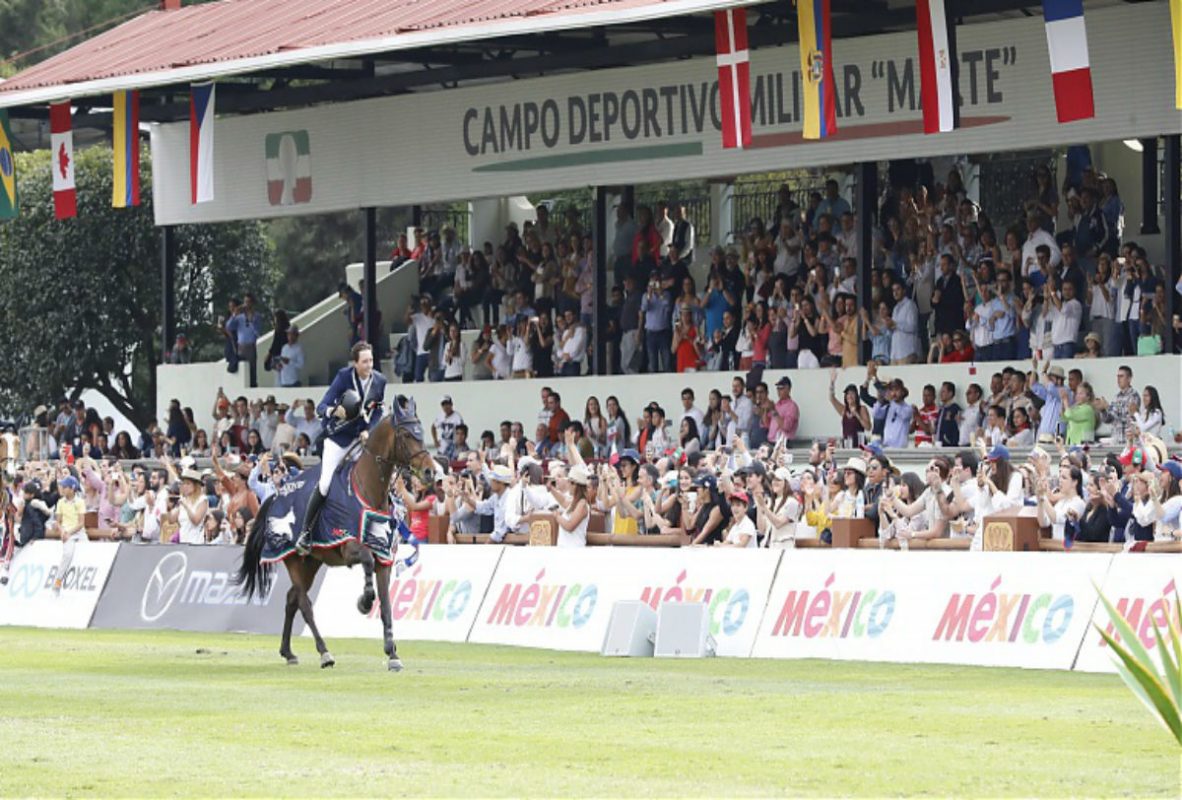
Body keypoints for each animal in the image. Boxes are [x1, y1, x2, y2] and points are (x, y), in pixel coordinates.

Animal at [232, 397, 432, 666]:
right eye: (407, 434)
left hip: (310, 563)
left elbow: (387, 606)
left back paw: (288, 652)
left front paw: (392, 654)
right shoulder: (349, 547)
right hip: (294, 560)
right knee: (304, 604)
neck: (367, 489)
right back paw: (324, 652)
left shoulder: (384, 559)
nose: (430, 471)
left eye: (421, 433)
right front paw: (364, 601)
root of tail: (275, 496)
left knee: (292, 600)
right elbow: (367, 563)